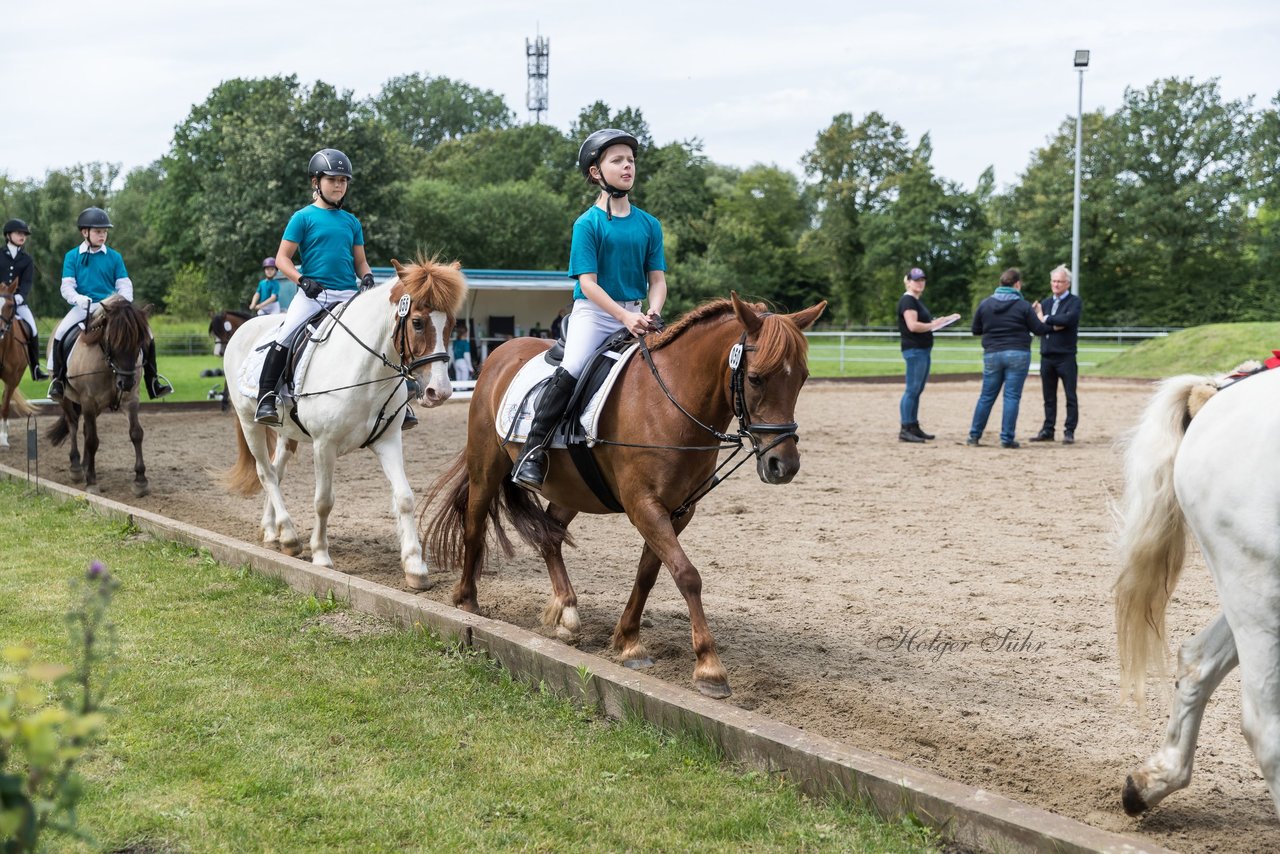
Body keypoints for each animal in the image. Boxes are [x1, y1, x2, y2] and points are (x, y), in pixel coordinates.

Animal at [45, 294, 152, 494]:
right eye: (112, 339)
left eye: (140, 342)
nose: (126, 383)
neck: (110, 367)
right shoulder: (88, 400)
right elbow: (92, 440)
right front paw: (92, 482)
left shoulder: (130, 399)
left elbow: (136, 433)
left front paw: (140, 480)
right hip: (67, 399)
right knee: (73, 424)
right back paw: (77, 468)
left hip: (98, 406)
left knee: (85, 429)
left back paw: (85, 465)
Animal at [222, 257, 468, 591]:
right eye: (417, 322)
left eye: (452, 324)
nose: (439, 392)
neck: (366, 371)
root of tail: (245, 327)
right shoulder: (324, 445)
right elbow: (324, 500)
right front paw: (321, 557)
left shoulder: (388, 440)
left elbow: (405, 497)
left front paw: (415, 566)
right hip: (250, 424)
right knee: (265, 473)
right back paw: (290, 535)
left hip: (287, 432)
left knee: (276, 470)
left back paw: (274, 533)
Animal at [427, 291, 829, 696]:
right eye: (756, 378)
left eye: (803, 379)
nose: (783, 465)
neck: (671, 402)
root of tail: (502, 352)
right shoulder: (643, 505)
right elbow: (687, 574)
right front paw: (709, 667)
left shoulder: (678, 510)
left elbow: (649, 573)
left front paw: (628, 641)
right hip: (486, 466)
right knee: (475, 525)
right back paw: (467, 602)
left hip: (571, 488)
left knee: (550, 537)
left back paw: (566, 611)